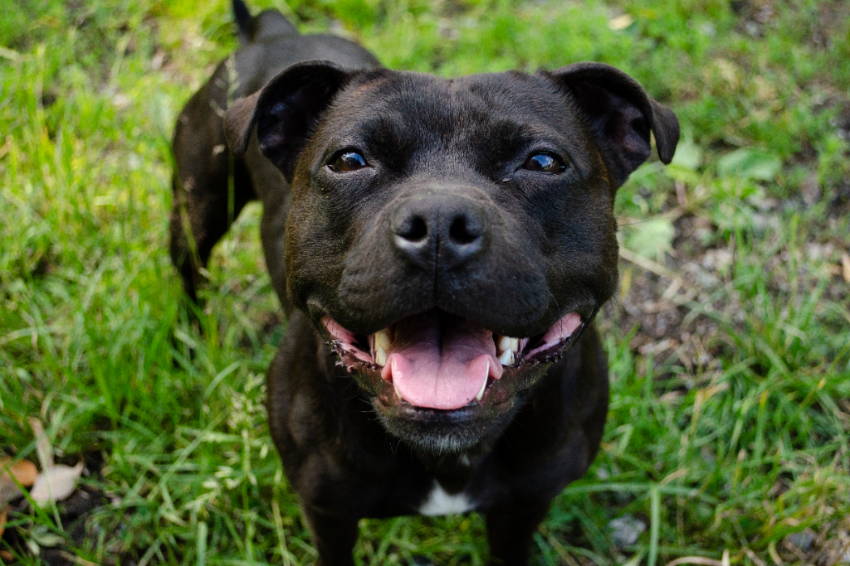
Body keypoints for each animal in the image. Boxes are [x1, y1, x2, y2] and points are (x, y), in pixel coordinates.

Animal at [169, 2, 680, 564]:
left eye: (544, 162)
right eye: (349, 160)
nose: (439, 221)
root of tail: (272, 30)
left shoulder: (524, 505)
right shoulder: (327, 511)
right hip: (198, 207)